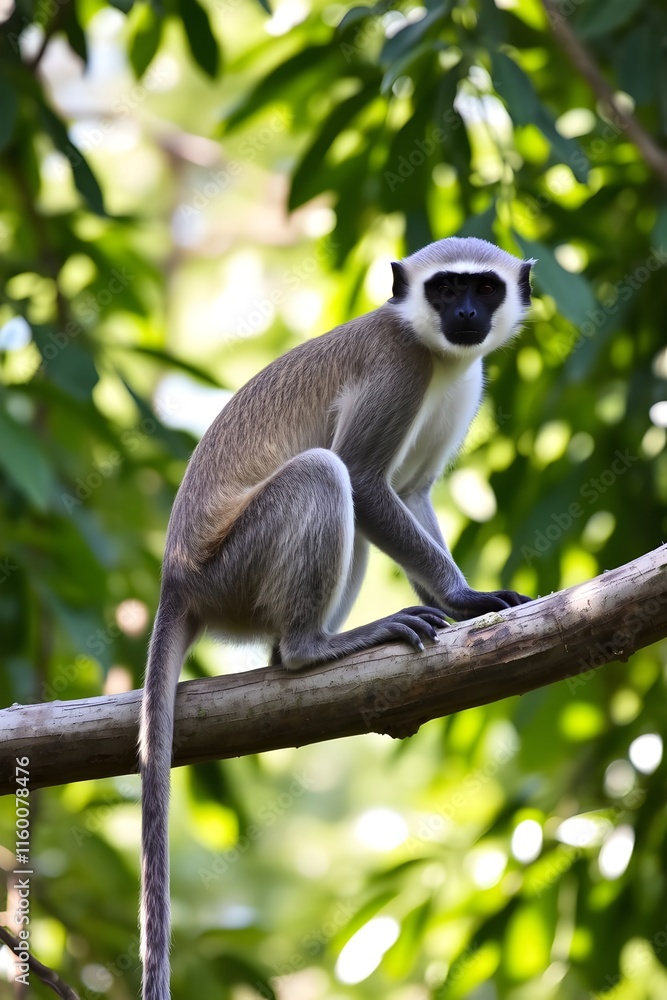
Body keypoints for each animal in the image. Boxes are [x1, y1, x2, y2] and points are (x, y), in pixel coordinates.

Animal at [139, 236, 534, 999]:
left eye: (483, 290)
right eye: (445, 290)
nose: (467, 316)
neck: (434, 351)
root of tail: (178, 577)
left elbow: (411, 488)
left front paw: (455, 599)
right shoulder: (399, 365)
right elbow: (365, 478)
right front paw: (464, 600)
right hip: (234, 567)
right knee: (327, 473)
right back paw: (310, 650)